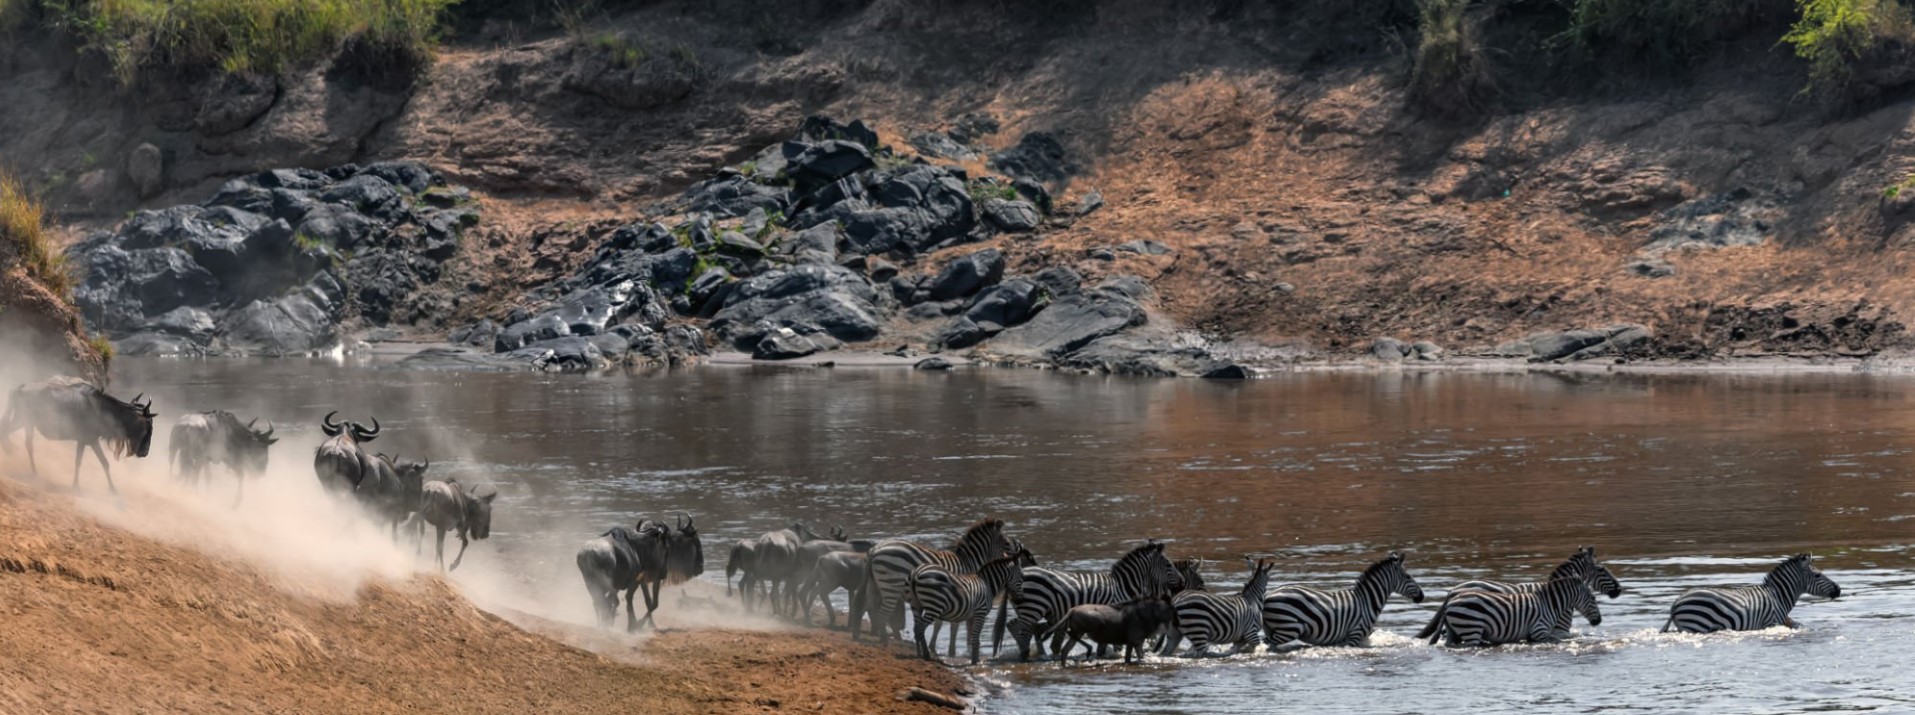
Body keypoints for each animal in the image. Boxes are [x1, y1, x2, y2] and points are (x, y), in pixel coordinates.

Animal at [855, 518, 1012, 644]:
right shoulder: (959, 597)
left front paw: (934, 647)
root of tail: (875, 549)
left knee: (865, 606)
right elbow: (951, 626)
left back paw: (859, 634)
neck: (967, 563)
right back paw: (884, 640)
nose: (1009, 561)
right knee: (882, 613)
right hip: (891, 586)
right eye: (1006, 542)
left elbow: (940, 625)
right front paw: (946, 650)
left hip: (874, 585)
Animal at [1005, 540, 1184, 661]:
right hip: (1033, 606)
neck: (1123, 585)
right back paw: (1024, 654)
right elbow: (1117, 646)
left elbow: (1104, 647)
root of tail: (1022, 571)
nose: (1182, 582)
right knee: (1017, 626)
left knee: (1028, 628)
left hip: (1036, 610)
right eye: (1168, 565)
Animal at [1261, 551, 1424, 649]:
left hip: (1275, 629)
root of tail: (1268, 596)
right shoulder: (1354, 635)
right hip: (1289, 628)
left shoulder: (1362, 638)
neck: (1367, 601)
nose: (1422, 596)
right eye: (1408, 577)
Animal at [1428, 577, 1602, 647]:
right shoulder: (1539, 631)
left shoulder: (1532, 636)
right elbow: (1560, 641)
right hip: (1472, 629)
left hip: (1453, 631)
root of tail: (1450, 600)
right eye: (1593, 598)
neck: (1550, 604)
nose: (1599, 621)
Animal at [1662, 553, 1841, 634]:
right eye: (1817, 575)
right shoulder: (1771, 623)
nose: (1839, 589)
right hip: (1696, 626)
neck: (1778, 596)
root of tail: (1676, 603)